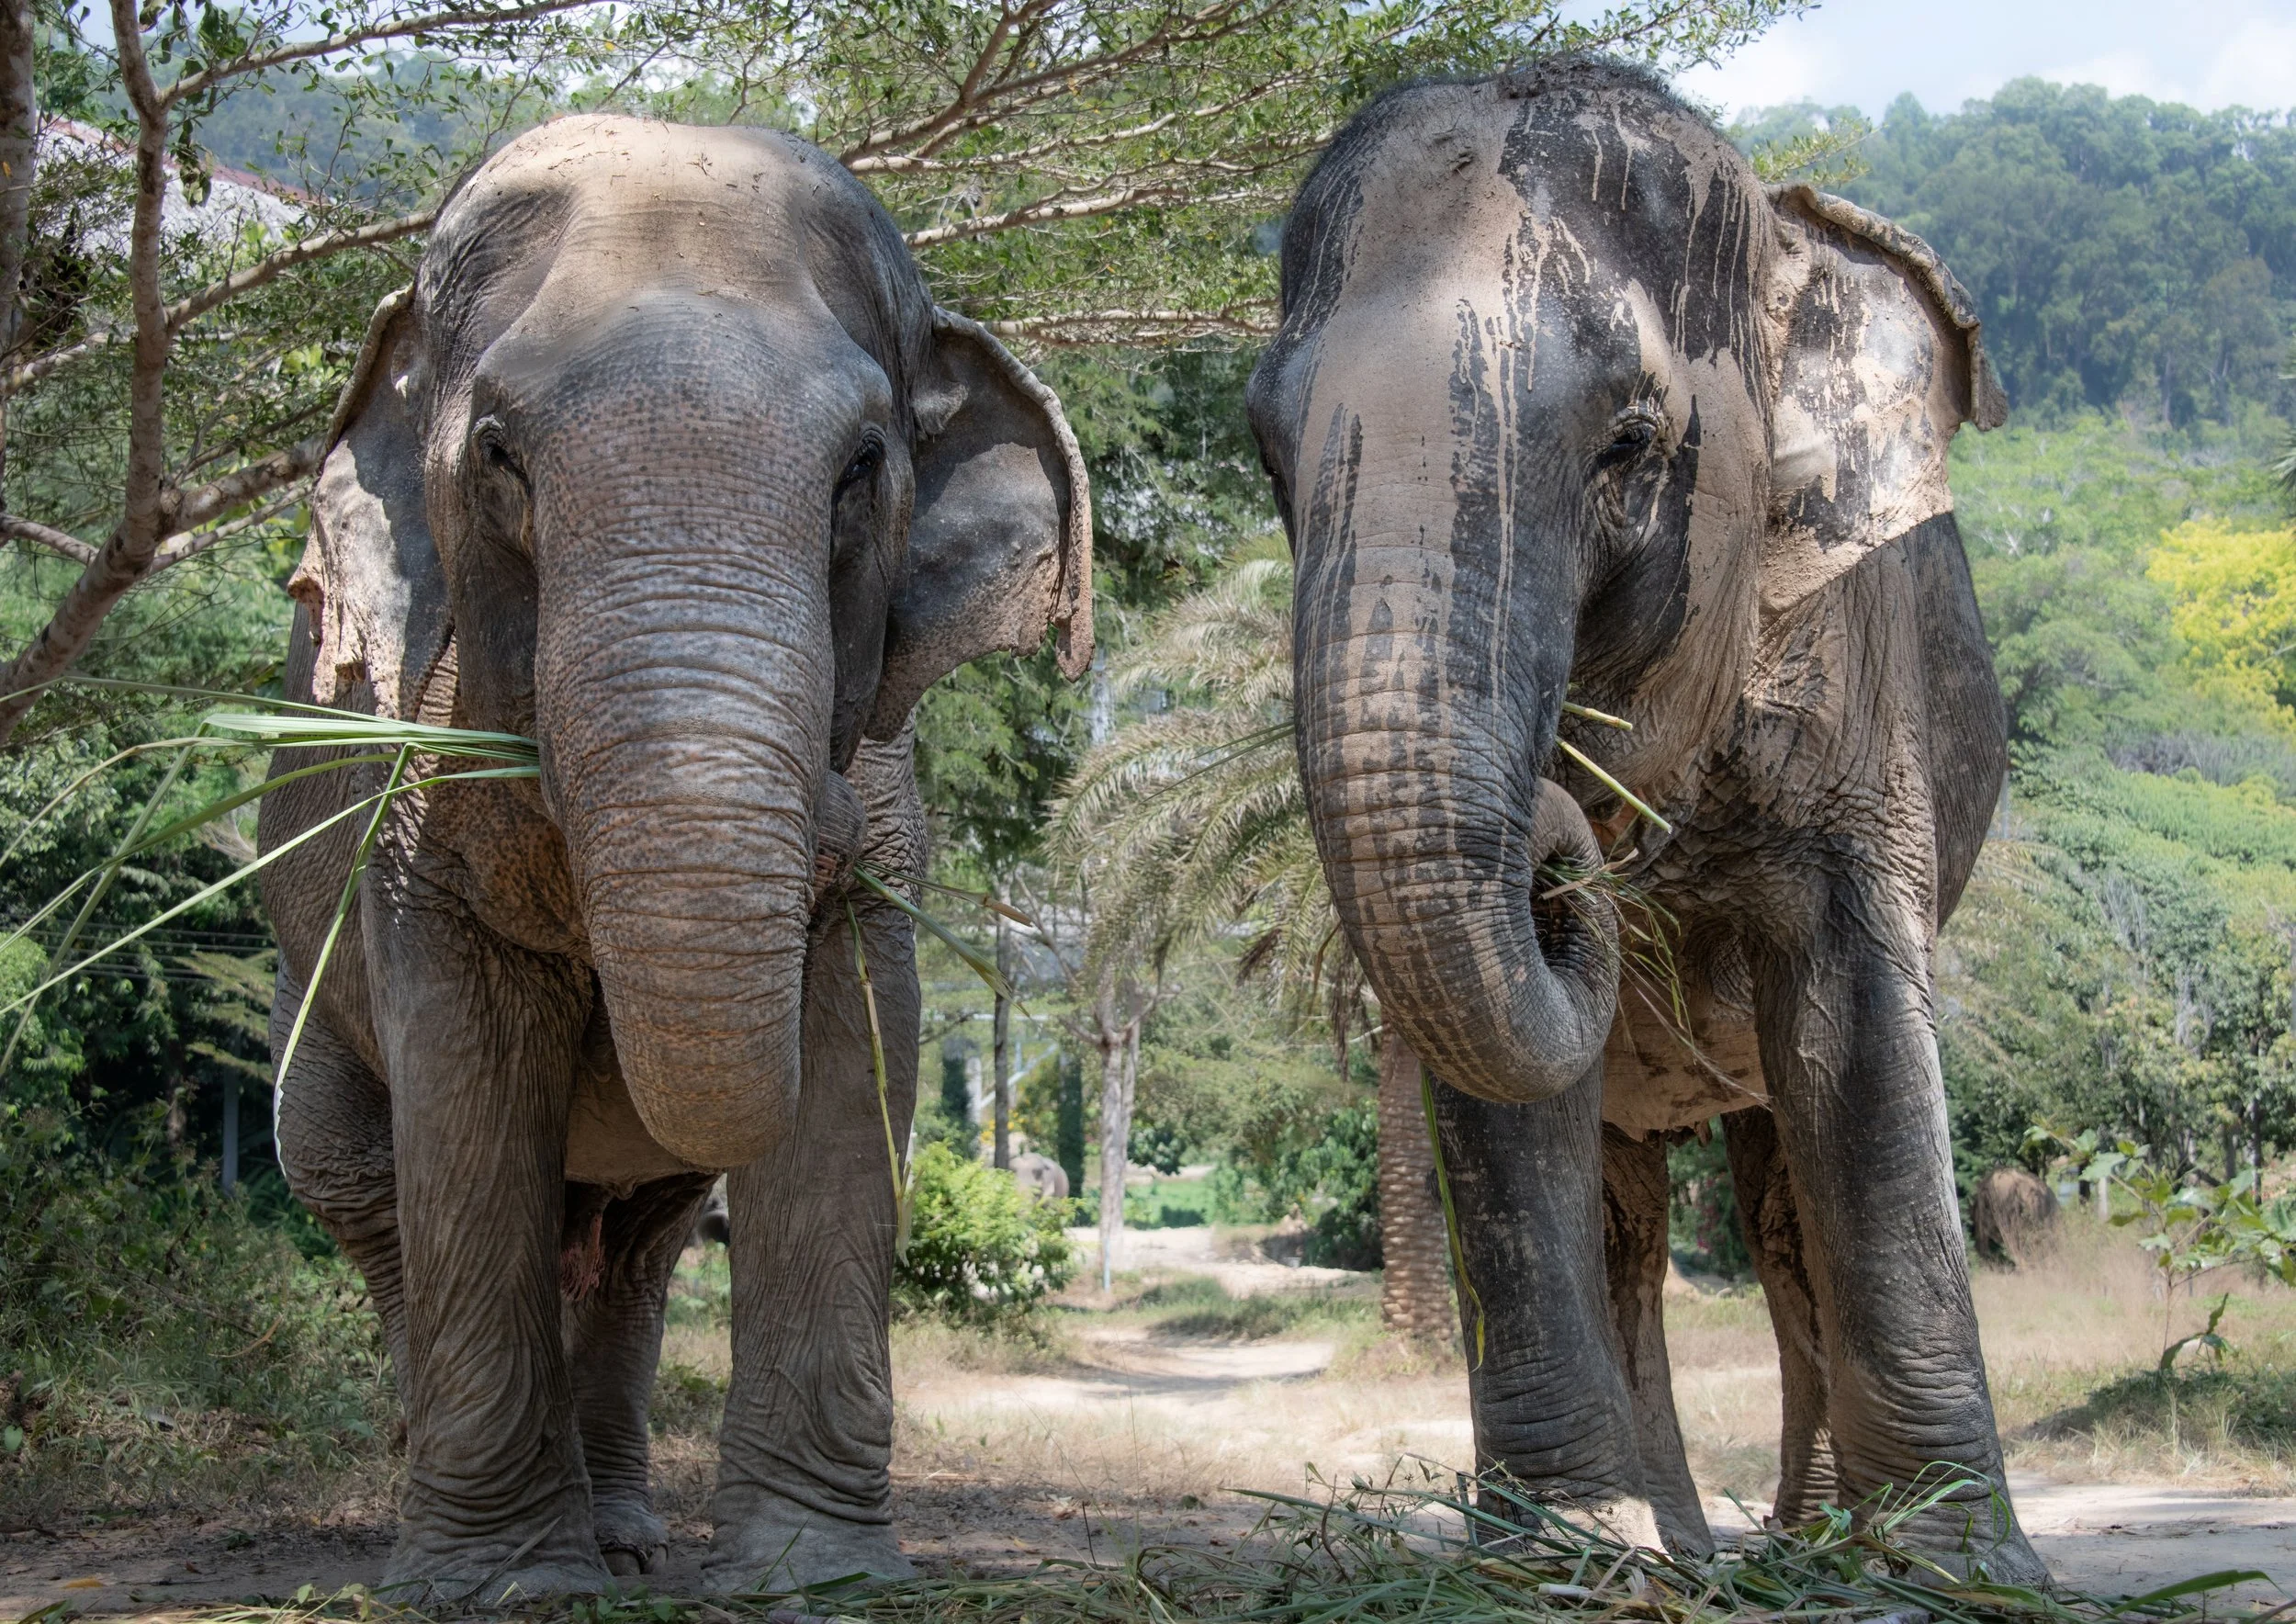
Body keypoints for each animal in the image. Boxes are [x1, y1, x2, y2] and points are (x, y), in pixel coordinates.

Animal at [257, 115, 1090, 1600]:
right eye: (498, 456)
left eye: (862, 467)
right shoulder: (416, 823)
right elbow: (467, 1091)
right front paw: (506, 1592)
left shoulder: (881, 825)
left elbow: (851, 1072)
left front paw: (817, 1579)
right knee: (363, 1178)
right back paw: (440, 1500)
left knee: (636, 1252)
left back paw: (628, 1538)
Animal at [1248, 58, 2041, 1581]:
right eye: (1267, 452)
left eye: (1630, 441)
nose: (1567, 837)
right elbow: (1504, 1106)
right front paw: (1563, 1562)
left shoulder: (1861, 683)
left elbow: (1857, 1033)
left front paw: (1959, 1575)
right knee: (1634, 1213)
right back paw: (1681, 1552)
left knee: (1781, 1197)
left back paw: (1803, 1550)